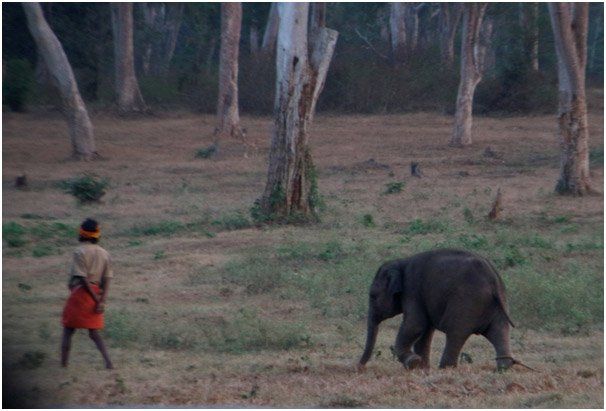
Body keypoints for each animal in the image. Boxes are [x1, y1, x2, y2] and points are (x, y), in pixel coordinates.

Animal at [358, 249, 520, 372]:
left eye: (372, 296)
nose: (360, 367)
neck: (401, 262)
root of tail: (493, 278)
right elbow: (425, 331)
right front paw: (423, 368)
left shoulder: (412, 290)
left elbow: (415, 325)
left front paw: (413, 363)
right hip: (496, 304)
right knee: (499, 330)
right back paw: (503, 368)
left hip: (466, 302)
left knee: (456, 332)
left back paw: (445, 368)